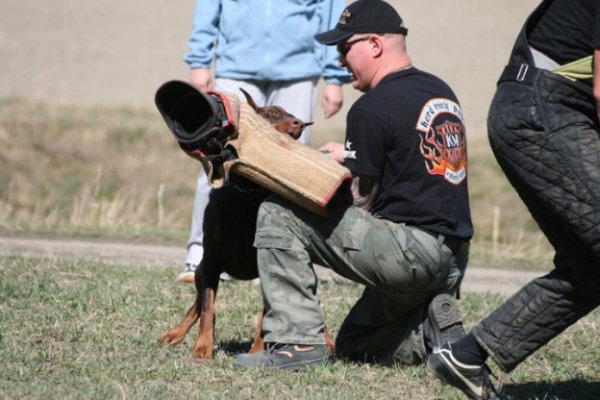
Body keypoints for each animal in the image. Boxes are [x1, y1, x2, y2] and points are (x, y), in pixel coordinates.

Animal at [159, 90, 338, 360]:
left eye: (293, 114)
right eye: (273, 112)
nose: (298, 123)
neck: (247, 193)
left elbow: (267, 316)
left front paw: (257, 350)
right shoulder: (211, 259)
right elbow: (208, 309)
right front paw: (203, 349)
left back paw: (326, 340)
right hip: (200, 269)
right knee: (199, 302)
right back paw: (174, 333)